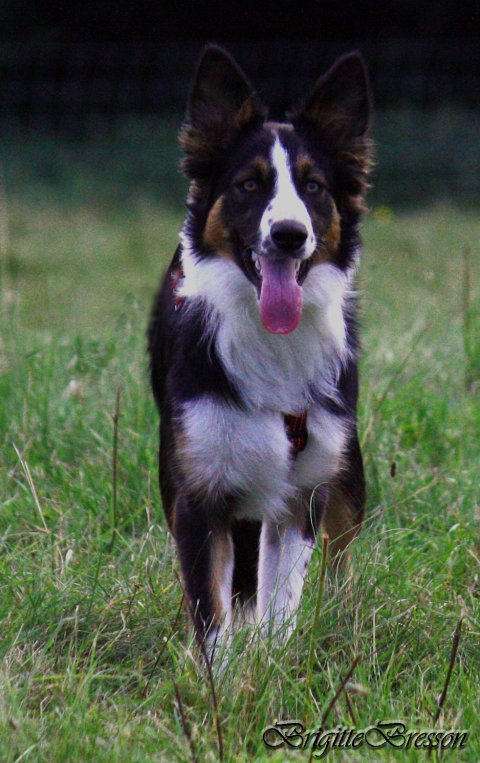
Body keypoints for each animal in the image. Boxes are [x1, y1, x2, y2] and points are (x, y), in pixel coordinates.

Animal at [148, 45, 372, 655]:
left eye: (314, 187)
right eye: (250, 185)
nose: (290, 235)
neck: (270, 339)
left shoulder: (302, 490)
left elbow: (282, 603)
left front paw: (271, 661)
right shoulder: (198, 491)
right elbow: (211, 614)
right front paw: (220, 676)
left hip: (346, 469)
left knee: (339, 564)